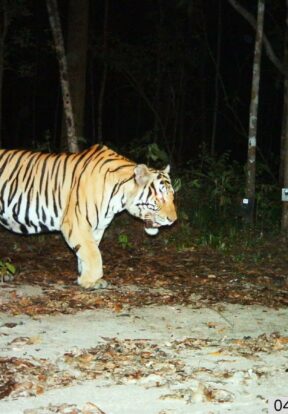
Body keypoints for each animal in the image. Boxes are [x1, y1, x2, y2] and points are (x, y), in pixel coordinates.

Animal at [0, 144, 177, 290]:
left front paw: (86, 279)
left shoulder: (97, 227)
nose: (173, 220)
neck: (119, 195)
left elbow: (87, 252)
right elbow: (93, 254)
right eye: (160, 197)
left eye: (172, 196)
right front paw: (90, 281)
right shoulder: (76, 223)